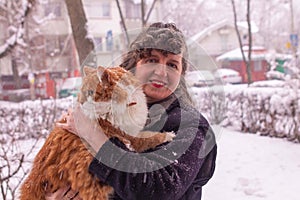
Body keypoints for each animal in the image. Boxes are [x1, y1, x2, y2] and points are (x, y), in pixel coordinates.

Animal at [19, 66, 175, 200]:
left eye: (89, 92)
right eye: (82, 92)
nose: (80, 103)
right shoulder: (129, 136)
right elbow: (150, 137)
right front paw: (169, 135)